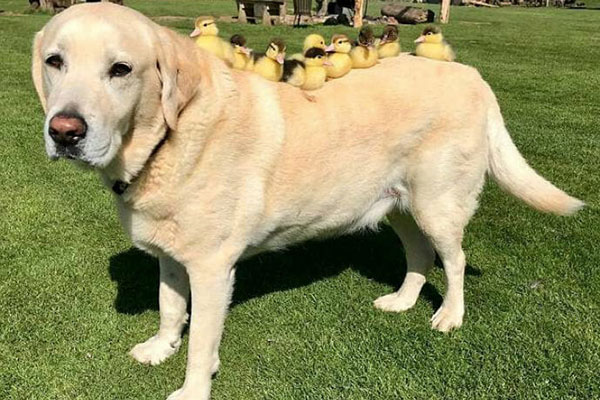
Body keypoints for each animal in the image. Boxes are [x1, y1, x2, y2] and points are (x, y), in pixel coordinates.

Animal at [31, 2, 580, 396]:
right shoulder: (171, 255)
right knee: (420, 255)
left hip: (437, 205)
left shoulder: (212, 269)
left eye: (121, 69)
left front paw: (191, 389)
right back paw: (403, 301)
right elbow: (170, 307)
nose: (65, 132)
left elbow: (201, 344)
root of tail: (472, 74)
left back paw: (449, 316)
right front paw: (161, 347)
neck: (168, 138)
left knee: (456, 260)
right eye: (54, 62)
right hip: (398, 205)